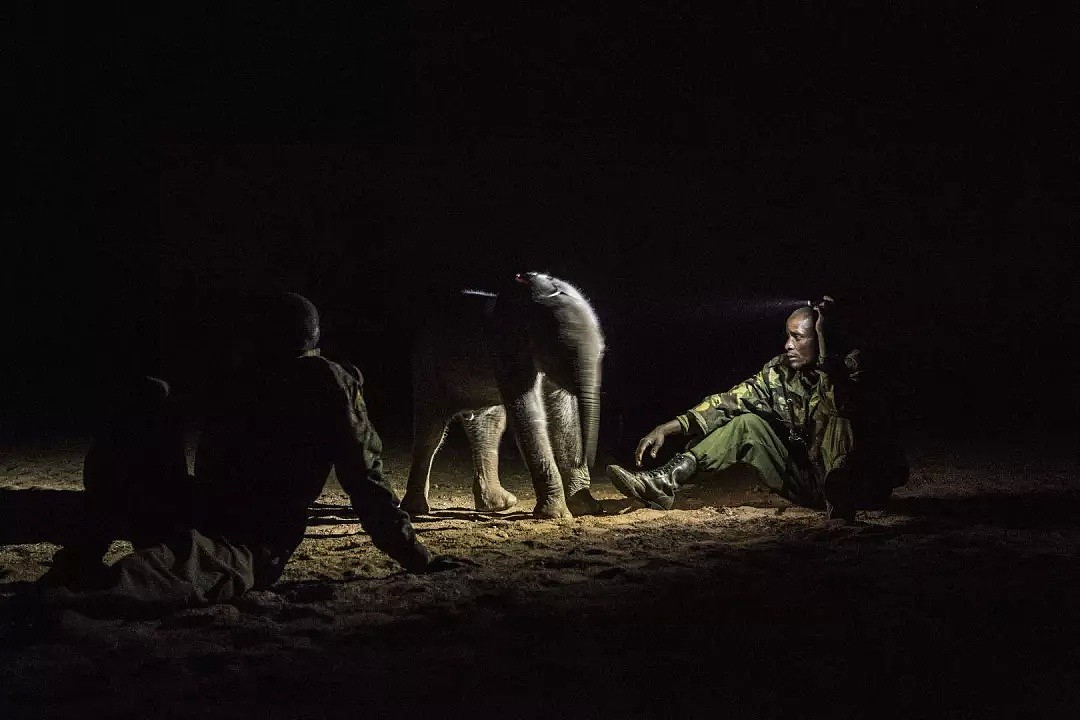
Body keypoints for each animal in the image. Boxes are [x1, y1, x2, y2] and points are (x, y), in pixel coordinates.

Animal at [406, 273, 604, 520]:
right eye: (565, 352)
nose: (588, 459)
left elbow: (563, 410)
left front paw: (586, 508)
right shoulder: (508, 350)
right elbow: (528, 413)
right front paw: (557, 515)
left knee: (489, 426)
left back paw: (499, 505)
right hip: (428, 371)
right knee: (431, 432)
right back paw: (416, 509)